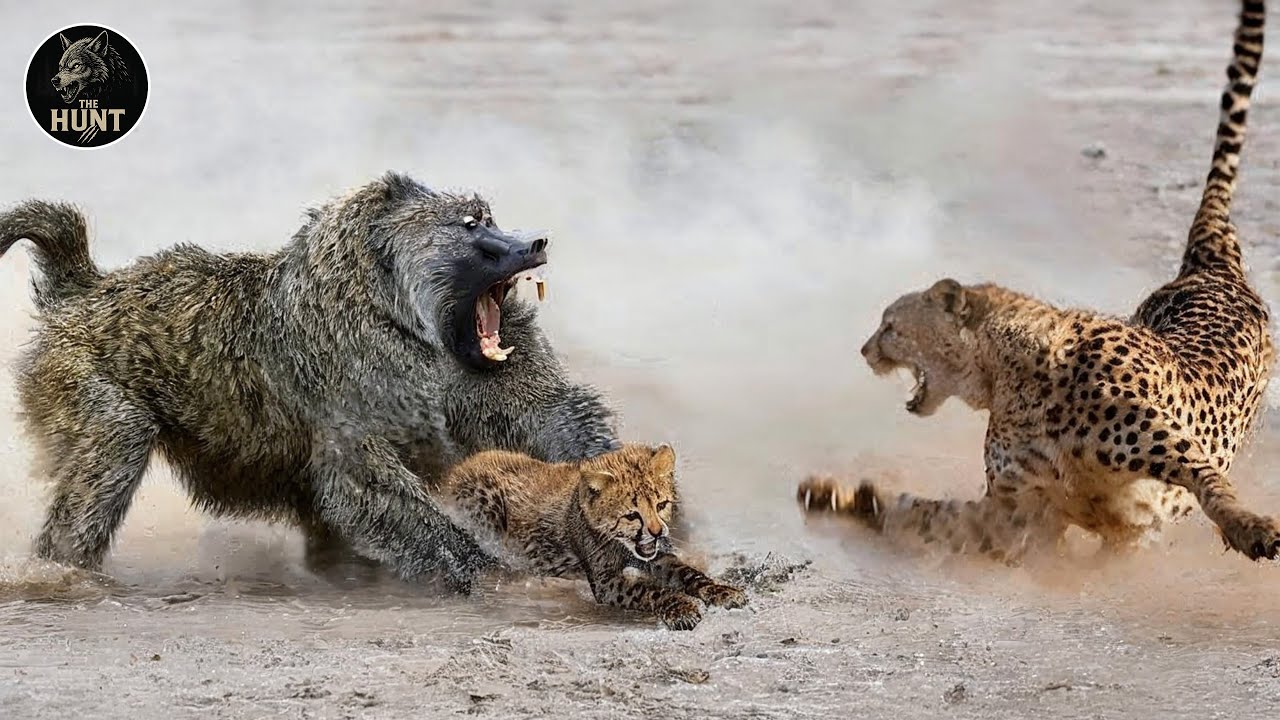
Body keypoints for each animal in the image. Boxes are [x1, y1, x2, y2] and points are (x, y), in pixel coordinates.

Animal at [0, 172, 619, 593]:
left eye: (488, 214)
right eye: (470, 224)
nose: (534, 242)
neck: (397, 310)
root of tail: (84, 292)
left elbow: (545, 414)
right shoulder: (357, 383)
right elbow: (363, 483)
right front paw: (489, 572)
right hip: (78, 376)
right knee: (115, 447)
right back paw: (59, 571)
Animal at [438, 442, 748, 630]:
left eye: (661, 505)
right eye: (632, 515)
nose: (658, 531)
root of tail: (458, 470)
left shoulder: (658, 556)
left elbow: (689, 573)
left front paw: (722, 591)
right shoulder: (606, 582)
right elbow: (651, 590)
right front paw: (681, 607)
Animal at [798, 0, 1280, 564]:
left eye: (891, 325)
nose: (865, 350)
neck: (1007, 373)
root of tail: (1210, 266)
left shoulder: (1168, 447)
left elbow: (1209, 483)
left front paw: (1251, 528)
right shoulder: (1017, 514)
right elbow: (925, 512)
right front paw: (840, 498)